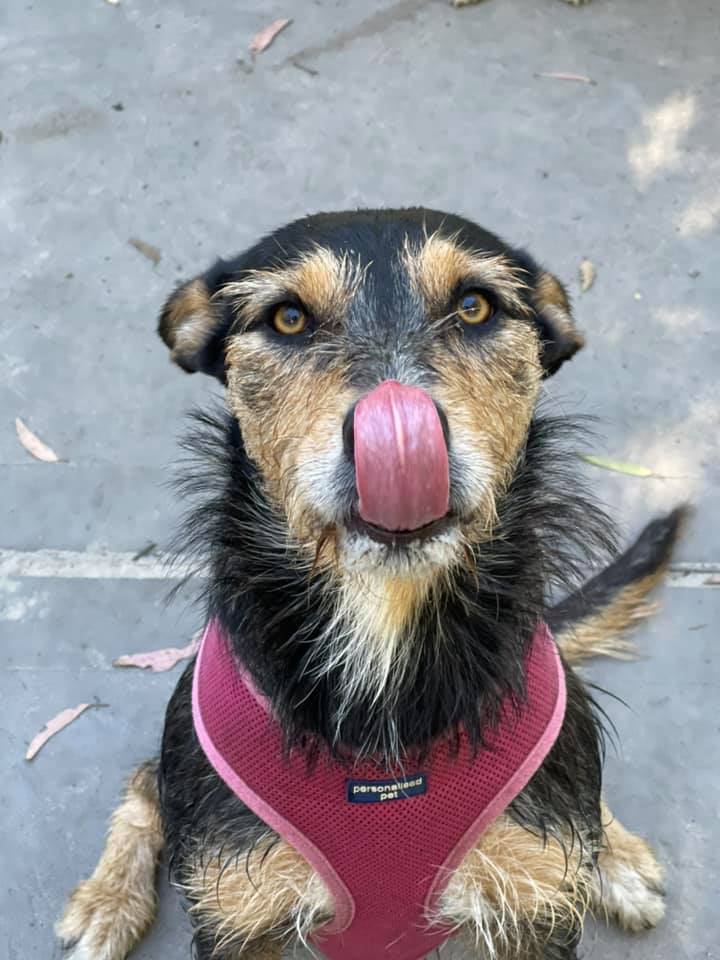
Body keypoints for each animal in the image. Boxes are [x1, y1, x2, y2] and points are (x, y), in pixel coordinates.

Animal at [58, 208, 682, 960]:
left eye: (475, 306)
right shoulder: (234, 912)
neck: (383, 630)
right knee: (145, 781)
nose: (399, 434)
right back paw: (108, 899)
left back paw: (615, 856)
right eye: (289, 317)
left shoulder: (540, 908)